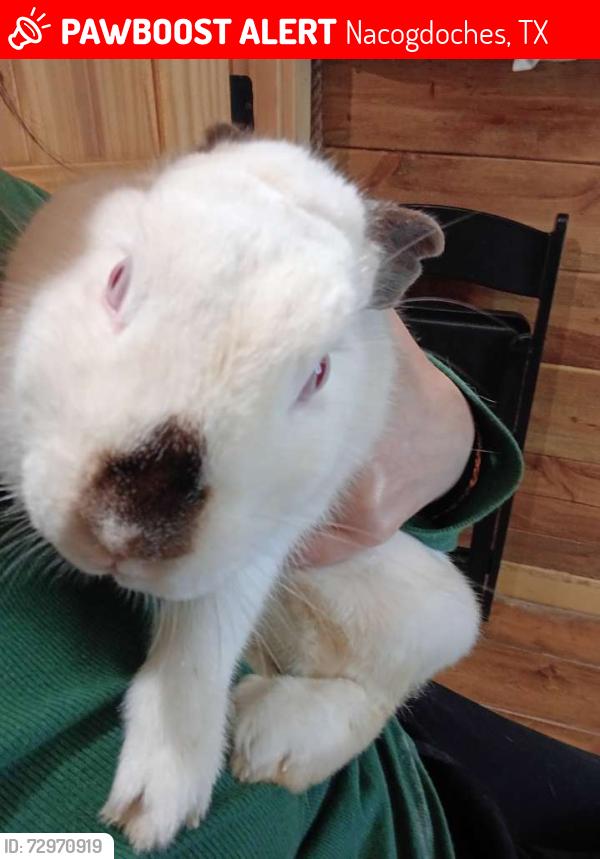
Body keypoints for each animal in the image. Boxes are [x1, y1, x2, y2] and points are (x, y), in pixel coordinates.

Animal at [0, 126, 480, 852]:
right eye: (117, 279)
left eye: (318, 373)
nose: (122, 531)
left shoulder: (269, 534)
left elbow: (203, 637)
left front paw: (158, 800)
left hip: (421, 610)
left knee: (379, 690)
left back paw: (268, 742)